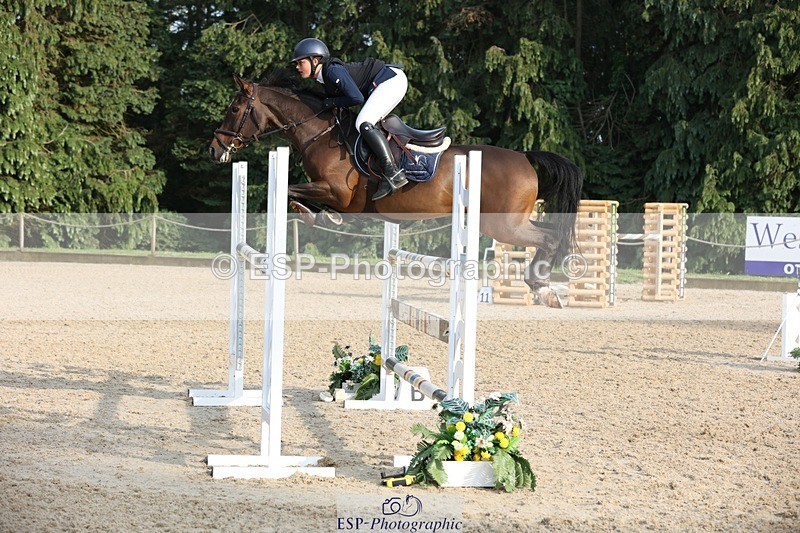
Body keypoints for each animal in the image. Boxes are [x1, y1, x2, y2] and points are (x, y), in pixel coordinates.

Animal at [209, 71, 584, 307]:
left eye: (234, 109)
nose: (215, 150)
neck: (320, 133)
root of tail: (524, 156)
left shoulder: (337, 193)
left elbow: (290, 192)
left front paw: (318, 217)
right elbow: (294, 195)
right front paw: (325, 219)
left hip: (502, 224)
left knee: (550, 237)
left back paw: (543, 287)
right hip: (510, 221)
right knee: (551, 233)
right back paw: (545, 286)